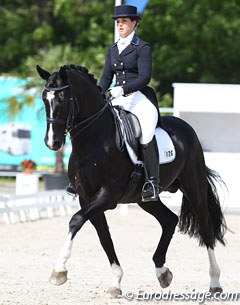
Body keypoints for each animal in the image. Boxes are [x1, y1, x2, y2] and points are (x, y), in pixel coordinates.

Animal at [36, 63, 226, 294]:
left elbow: (76, 220)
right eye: (44, 98)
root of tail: (187, 128)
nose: (52, 142)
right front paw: (116, 281)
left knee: (205, 228)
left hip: (194, 187)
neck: (94, 141)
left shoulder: (107, 195)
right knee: (169, 220)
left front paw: (59, 270)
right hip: (144, 198)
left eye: (63, 98)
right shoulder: (86, 197)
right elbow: (104, 236)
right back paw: (162, 272)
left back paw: (214, 282)